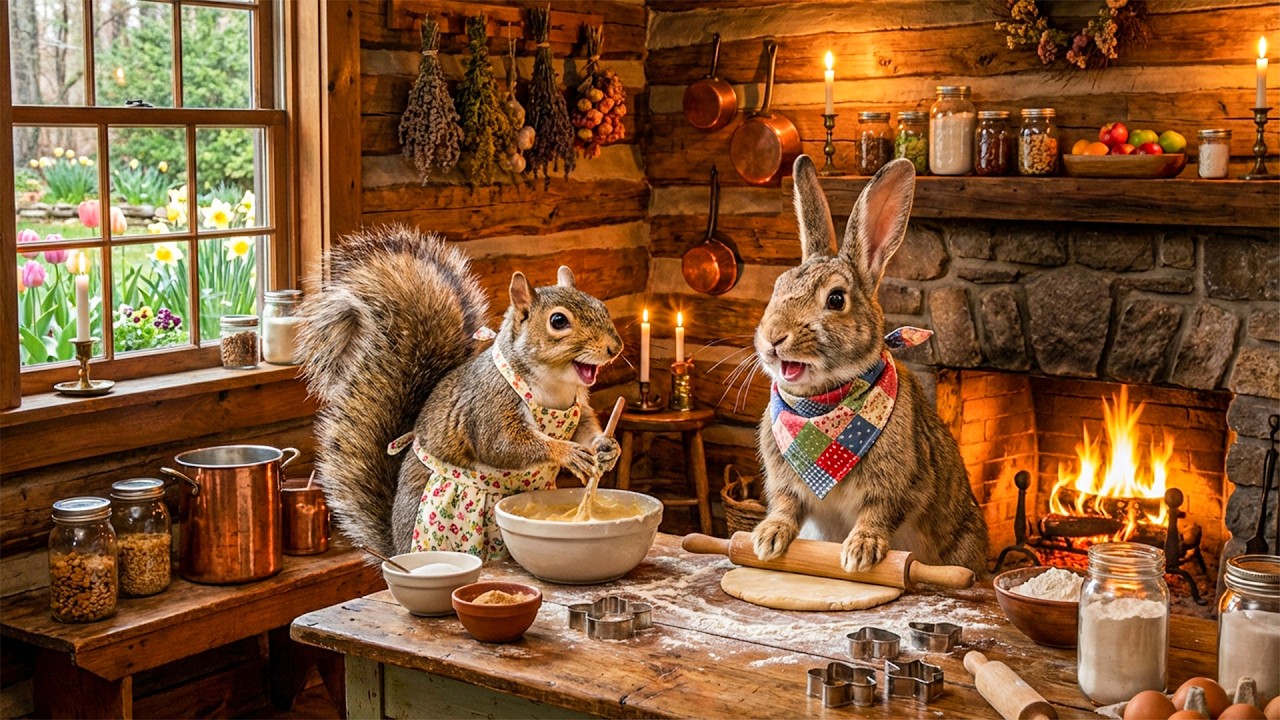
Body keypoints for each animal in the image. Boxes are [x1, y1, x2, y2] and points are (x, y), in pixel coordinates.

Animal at [296, 224, 624, 559]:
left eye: (601, 306)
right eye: (558, 321)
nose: (615, 347)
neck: (554, 387)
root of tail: (397, 550)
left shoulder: (578, 405)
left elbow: (585, 427)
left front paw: (605, 447)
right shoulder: (489, 403)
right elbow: (502, 445)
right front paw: (566, 452)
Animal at [750, 155, 989, 575]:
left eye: (836, 299)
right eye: (777, 288)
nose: (774, 338)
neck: (822, 412)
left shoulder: (900, 484)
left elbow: (878, 513)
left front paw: (860, 552)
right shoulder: (786, 486)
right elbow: (786, 507)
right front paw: (768, 539)